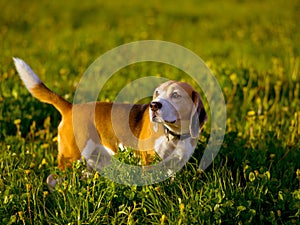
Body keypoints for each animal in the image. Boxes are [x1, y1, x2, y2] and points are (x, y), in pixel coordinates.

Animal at [13, 58, 206, 188]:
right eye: (157, 93)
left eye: (176, 95)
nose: (153, 105)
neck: (173, 134)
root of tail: (70, 107)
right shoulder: (149, 161)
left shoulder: (176, 164)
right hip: (71, 157)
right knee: (52, 178)